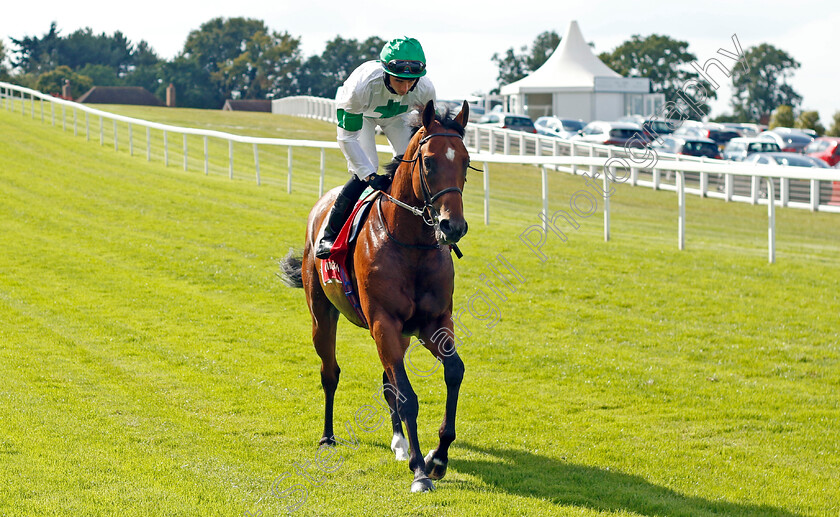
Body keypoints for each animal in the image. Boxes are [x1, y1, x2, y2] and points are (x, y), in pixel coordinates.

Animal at [280, 101, 466, 492]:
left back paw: (398, 442)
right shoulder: (384, 323)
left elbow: (453, 372)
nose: (452, 226)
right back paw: (328, 436)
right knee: (330, 372)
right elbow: (407, 395)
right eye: (429, 162)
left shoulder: (433, 323)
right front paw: (420, 471)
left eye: (466, 161)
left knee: (387, 383)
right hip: (322, 315)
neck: (410, 244)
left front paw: (437, 457)